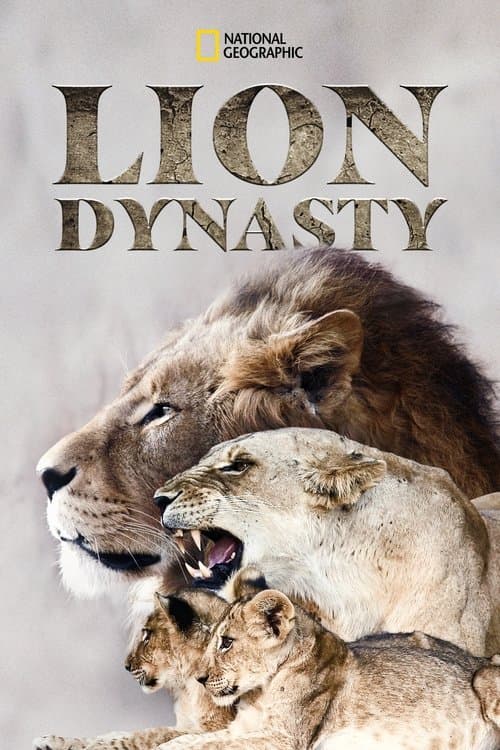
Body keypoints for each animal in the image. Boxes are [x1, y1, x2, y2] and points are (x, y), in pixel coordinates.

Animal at [161, 583, 500, 750]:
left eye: (227, 642)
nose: (200, 678)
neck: (261, 692)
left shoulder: (287, 739)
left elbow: (207, 746)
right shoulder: (242, 729)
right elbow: (194, 739)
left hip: (484, 676)